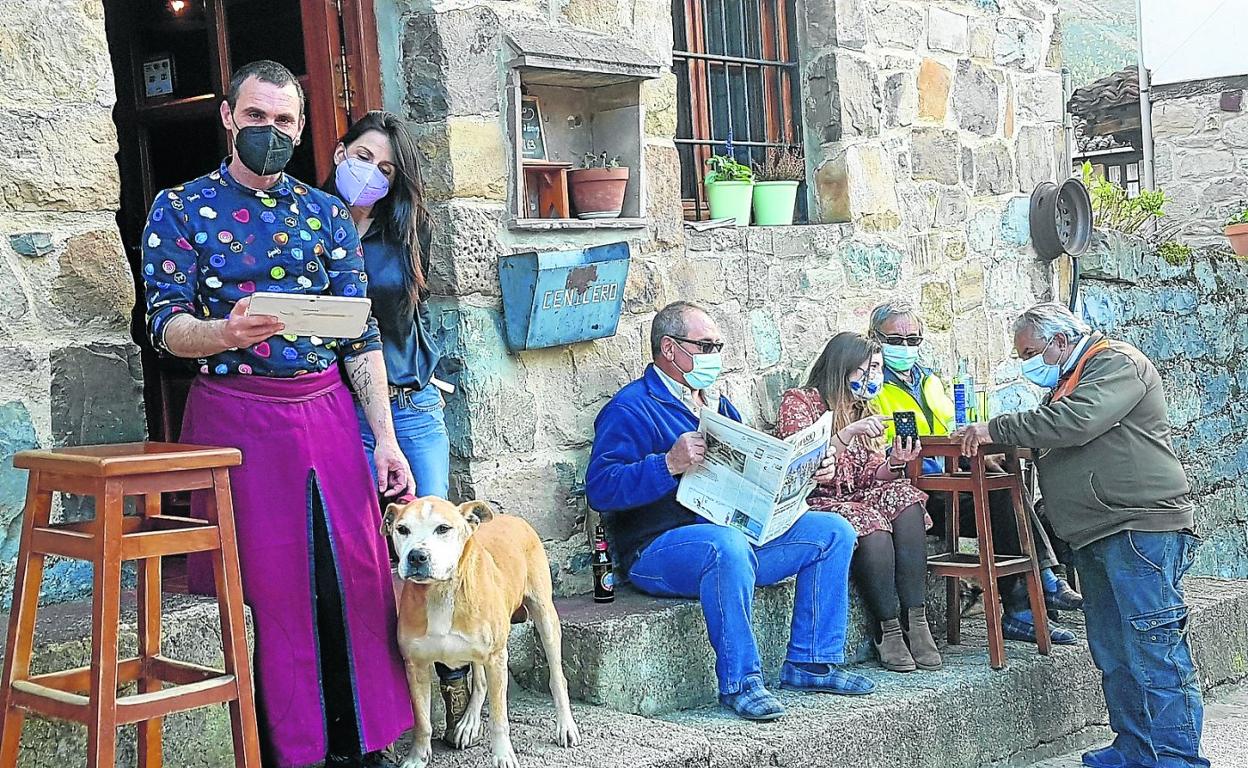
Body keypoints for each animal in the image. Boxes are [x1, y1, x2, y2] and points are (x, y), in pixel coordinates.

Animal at [384, 499, 579, 768]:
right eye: (402, 529)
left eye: (443, 528)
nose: (416, 556)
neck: (440, 592)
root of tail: (513, 518)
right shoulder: (415, 665)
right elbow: (422, 722)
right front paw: (417, 758)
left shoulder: (496, 659)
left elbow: (499, 719)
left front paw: (503, 756)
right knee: (479, 682)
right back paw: (468, 723)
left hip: (545, 617)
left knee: (558, 678)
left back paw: (566, 726)